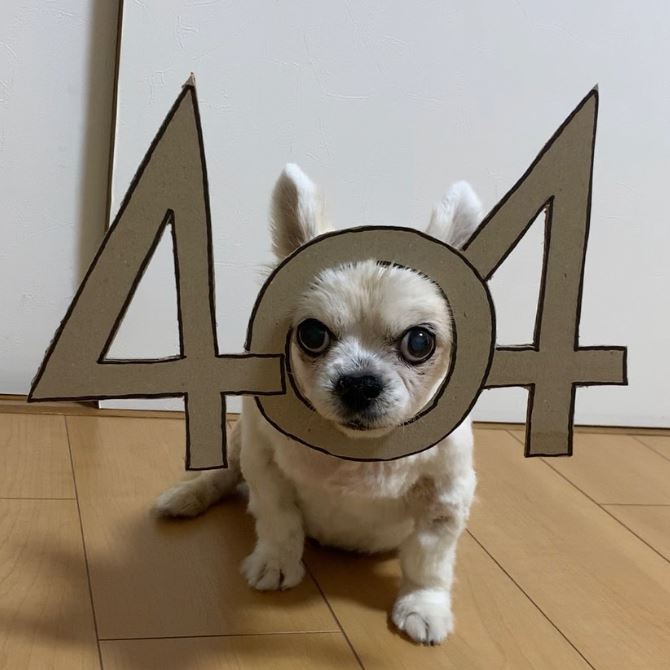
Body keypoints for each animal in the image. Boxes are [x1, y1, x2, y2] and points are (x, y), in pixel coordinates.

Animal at [155, 164, 483, 645]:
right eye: (312, 334)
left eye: (420, 342)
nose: (360, 383)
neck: (354, 452)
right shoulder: (265, 465)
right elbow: (280, 521)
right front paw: (276, 565)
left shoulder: (444, 499)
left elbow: (429, 563)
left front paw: (424, 607)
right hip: (237, 443)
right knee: (222, 474)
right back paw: (185, 497)